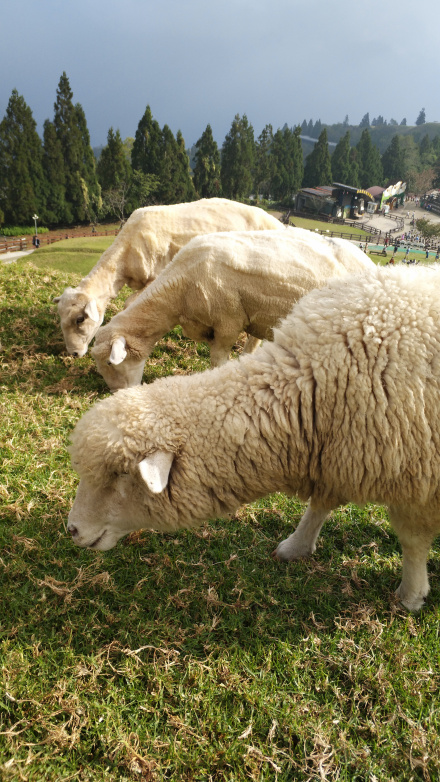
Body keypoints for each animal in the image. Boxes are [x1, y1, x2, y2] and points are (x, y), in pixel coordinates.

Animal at [52, 198, 282, 356]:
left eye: (80, 319)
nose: (73, 353)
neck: (123, 258)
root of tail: (279, 224)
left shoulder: (157, 277)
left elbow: (129, 304)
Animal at [66, 266, 440, 616]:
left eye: (120, 476)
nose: (71, 530)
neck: (309, 384)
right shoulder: (334, 453)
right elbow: (320, 504)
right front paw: (296, 546)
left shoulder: (416, 482)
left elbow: (412, 542)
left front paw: (411, 595)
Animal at [91, 231, 372, 392]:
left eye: (110, 363)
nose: (115, 394)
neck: (179, 290)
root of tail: (368, 261)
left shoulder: (227, 323)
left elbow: (218, 363)